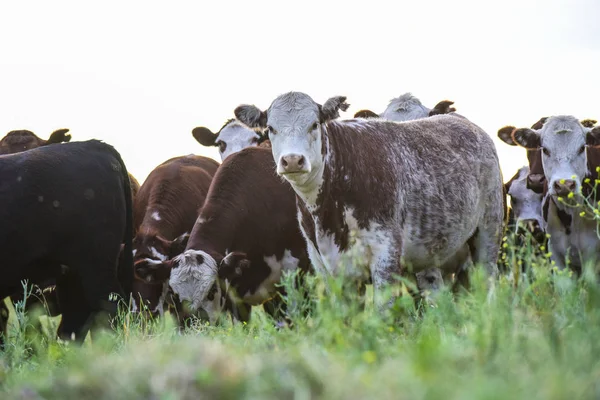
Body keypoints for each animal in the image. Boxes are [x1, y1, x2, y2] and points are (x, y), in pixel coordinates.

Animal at [232, 93, 504, 310]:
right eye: (270, 128)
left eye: (314, 124)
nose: (292, 160)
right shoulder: (325, 264)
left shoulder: (386, 254)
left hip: (488, 231)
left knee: (487, 278)